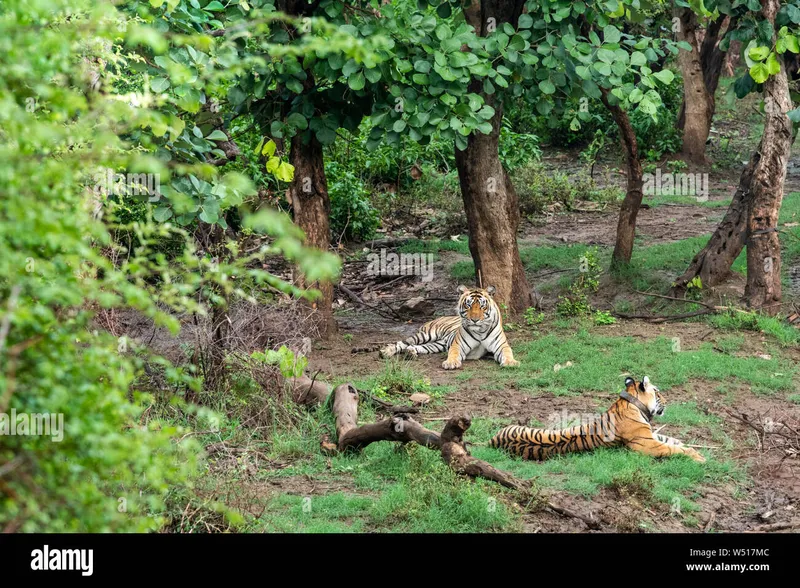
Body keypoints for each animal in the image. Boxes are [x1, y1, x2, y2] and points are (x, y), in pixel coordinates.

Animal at [380, 286, 520, 372]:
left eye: (482, 306)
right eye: (468, 305)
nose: (474, 320)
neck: (480, 330)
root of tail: (437, 318)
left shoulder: (501, 346)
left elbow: (507, 353)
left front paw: (511, 362)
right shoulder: (458, 345)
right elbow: (453, 353)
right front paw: (451, 363)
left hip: (437, 345)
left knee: (417, 347)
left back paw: (410, 353)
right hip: (426, 334)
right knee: (402, 343)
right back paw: (386, 351)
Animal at [488, 376, 708, 464]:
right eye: (658, 392)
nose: (668, 402)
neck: (632, 402)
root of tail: (492, 440)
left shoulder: (651, 436)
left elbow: (673, 441)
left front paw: (693, 447)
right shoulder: (647, 445)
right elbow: (674, 449)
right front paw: (698, 457)